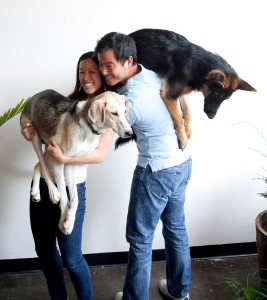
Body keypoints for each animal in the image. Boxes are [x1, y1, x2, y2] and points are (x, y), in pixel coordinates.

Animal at [20, 89, 133, 234]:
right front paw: (63, 220)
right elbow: (64, 196)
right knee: (44, 166)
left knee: (38, 164)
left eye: (125, 111)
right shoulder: (58, 162)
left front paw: (69, 221)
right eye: (114, 113)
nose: (130, 133)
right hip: (34, 136)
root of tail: (35, 95)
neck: (89, 129)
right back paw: (53, 192)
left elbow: (75, 199)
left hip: (48, 148)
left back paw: (35, 191)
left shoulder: (71, 163)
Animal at [115, 27, 258, 149]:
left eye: (225, 99)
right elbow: (178, 118)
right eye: (215, 94)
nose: (211, 117)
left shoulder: (178, 90)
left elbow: (187, 109)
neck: (199, 65)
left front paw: (187, 129)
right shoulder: (169, 95)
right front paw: (183, 139)